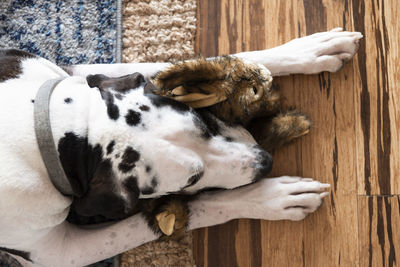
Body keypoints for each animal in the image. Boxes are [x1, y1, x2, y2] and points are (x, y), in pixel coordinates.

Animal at [0, 28, 362, 266]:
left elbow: (161, 67)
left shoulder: (71, 75)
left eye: (203, 122)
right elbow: (193, 210)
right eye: (191, 179)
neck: (46, 129)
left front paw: (305, 51)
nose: (265, 161)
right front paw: (271, 198)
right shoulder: (61, 253)